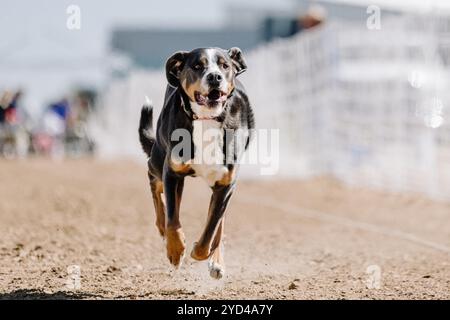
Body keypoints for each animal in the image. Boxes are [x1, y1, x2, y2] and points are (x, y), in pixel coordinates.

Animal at [139, 46, 255, 278]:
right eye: (197, 66)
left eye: (224, 65)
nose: (215, 77)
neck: (206, 119)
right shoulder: (172, 172)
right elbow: (173, 219)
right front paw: (175, 251)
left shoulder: (225, 184)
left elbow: (212, 228)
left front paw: (201, 253)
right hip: (159, 160)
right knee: (155, 184)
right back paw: (161, 227)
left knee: (218, 223)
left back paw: (216, 261)